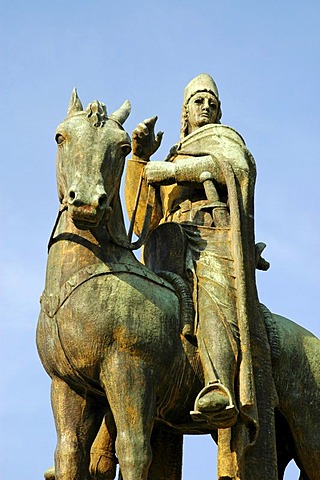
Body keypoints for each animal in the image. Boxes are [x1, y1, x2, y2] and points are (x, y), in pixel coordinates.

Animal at [37, 89, 320, 476]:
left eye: (121, 147)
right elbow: (69, 453)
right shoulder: (67, 387)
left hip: (308, 427)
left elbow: (134, 450)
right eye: (60, 137)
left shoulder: (130, 373)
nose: (87, 203)